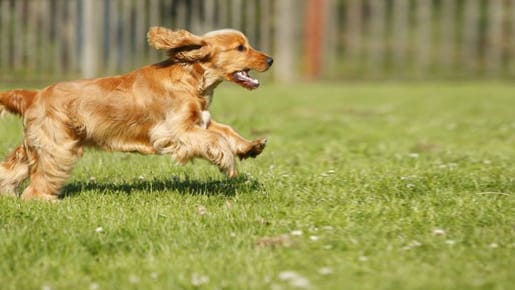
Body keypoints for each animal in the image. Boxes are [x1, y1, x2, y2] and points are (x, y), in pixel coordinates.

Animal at [0, 26, 274, 199]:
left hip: (37, 143)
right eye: (240, 48)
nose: (270, 60)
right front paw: (227, 161)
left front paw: (250, 146)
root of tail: (34, 94)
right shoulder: (174, 131)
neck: (191, 78)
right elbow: (215, 139)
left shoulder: (199, 122)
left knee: (12, 167)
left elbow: (225, 130)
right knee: (39, 180)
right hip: (58, 147)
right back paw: (44, 199)